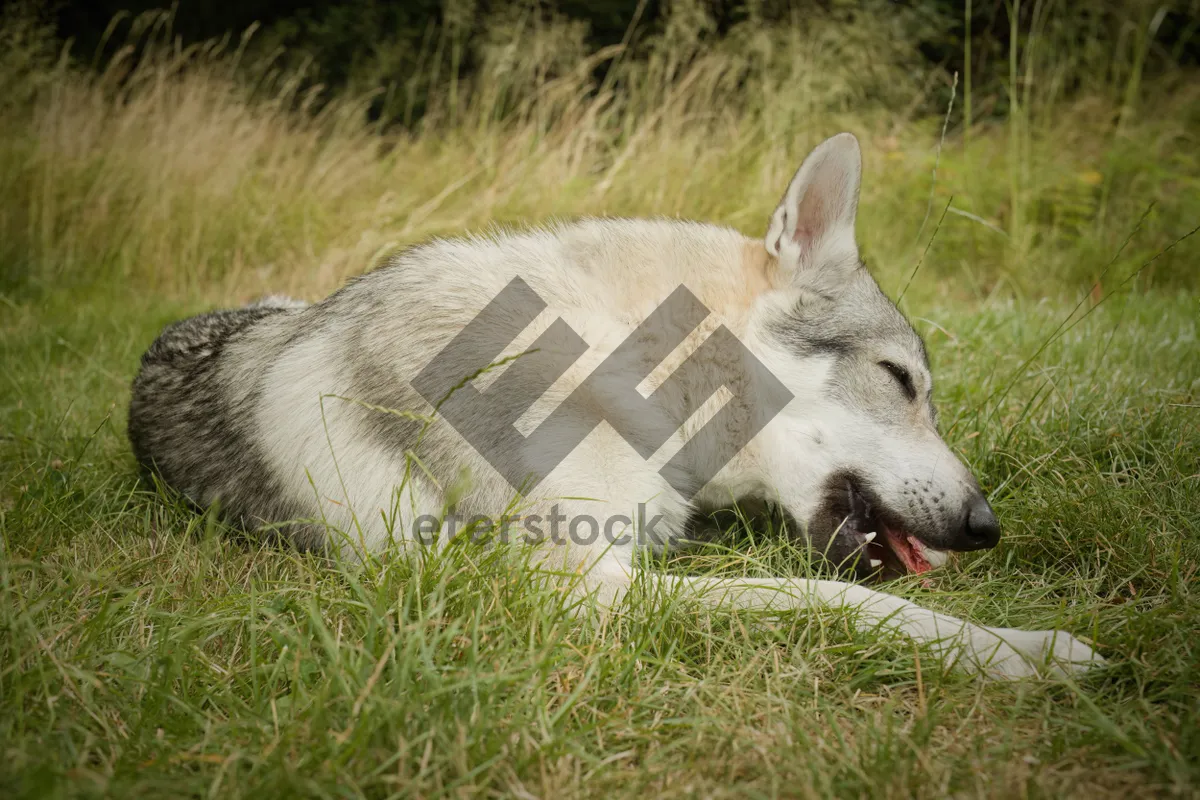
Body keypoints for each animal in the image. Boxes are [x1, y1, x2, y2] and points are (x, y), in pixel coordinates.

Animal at [131, 134, 1104, 681]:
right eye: (901, 380)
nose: (987, 527)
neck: (624, 364)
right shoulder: (577, 589)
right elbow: (842, 600)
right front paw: (1026, 651)